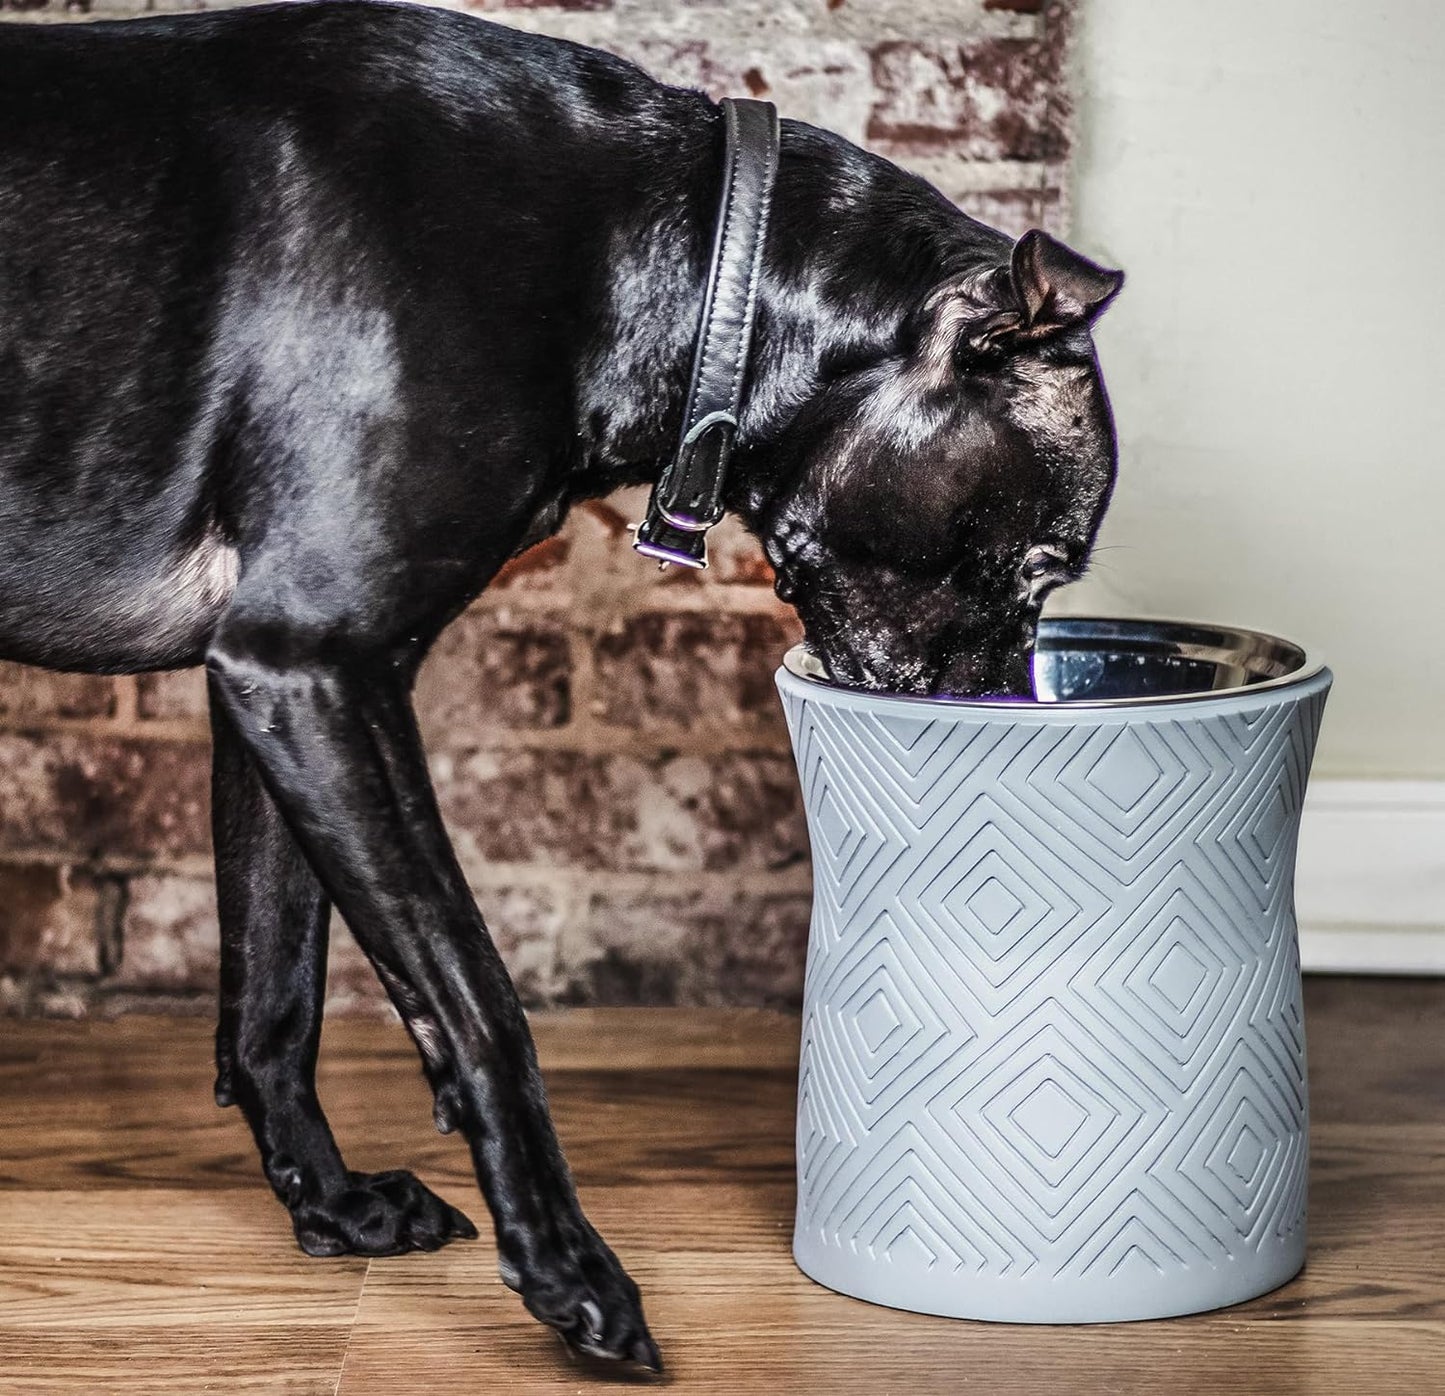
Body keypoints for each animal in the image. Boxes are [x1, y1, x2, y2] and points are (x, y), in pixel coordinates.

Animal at [0, 2, 1121, 1375]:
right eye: (1038, 566)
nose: (1000, 740)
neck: (666, 255)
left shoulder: (265, 685)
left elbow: (275, 998)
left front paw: (332, 1205)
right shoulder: (316, 664)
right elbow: (479, 1000)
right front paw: (565, 1266)